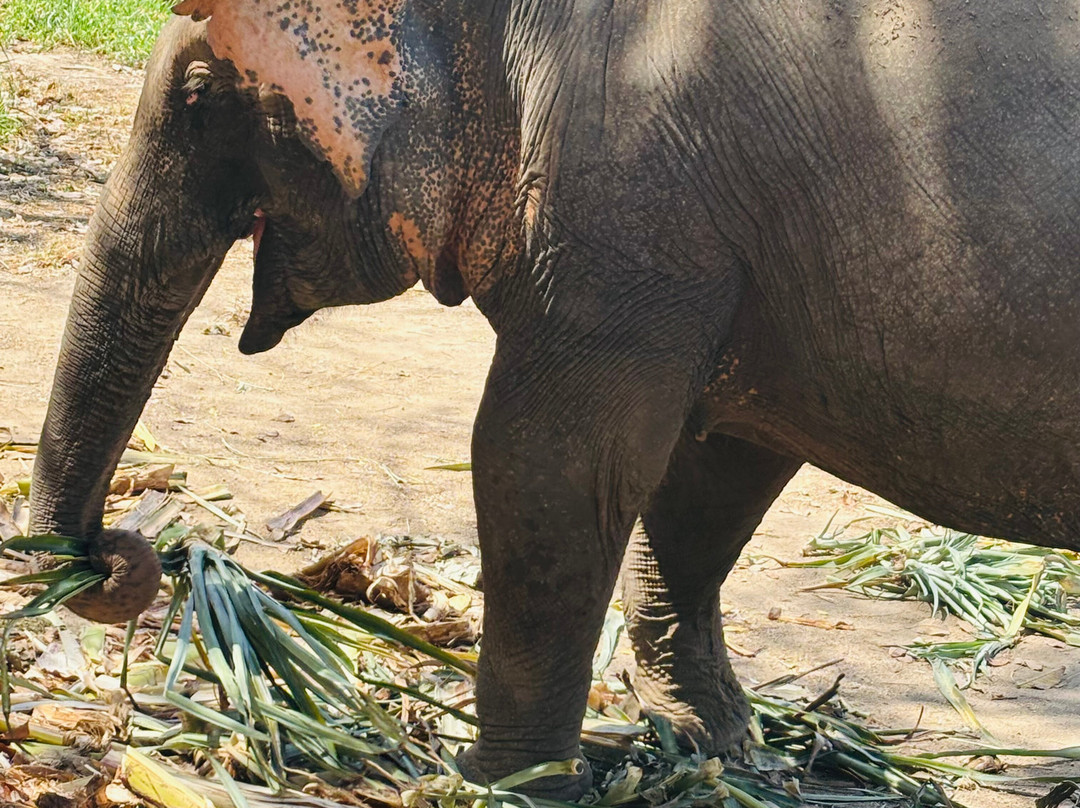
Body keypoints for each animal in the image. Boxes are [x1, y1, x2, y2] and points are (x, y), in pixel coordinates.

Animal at [30, 0, 1080, 797]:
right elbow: (712, 469)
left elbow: (545, 462)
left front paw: (505, 785)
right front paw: (711, 743)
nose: (120, 554)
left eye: (200, 94)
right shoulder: (729, 253)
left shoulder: (629, 203)